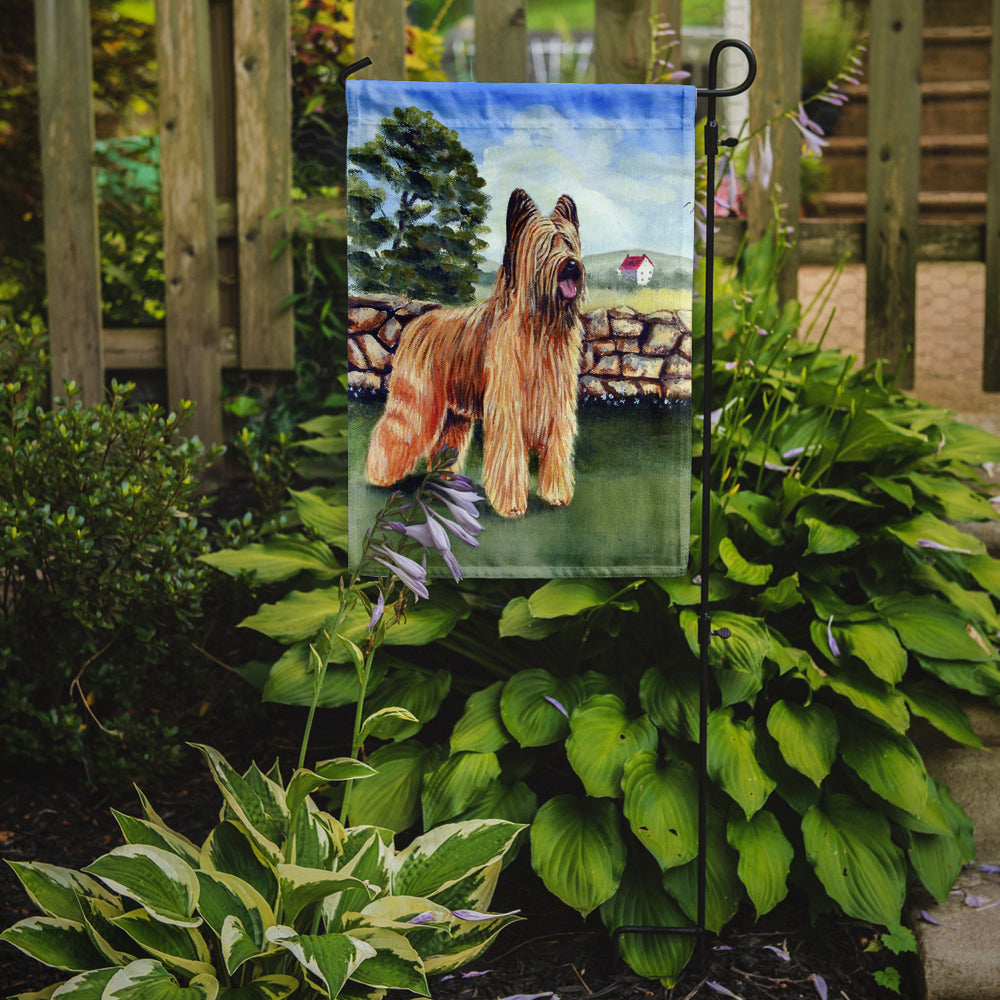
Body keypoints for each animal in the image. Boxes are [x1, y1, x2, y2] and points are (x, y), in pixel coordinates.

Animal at [368, 188, 584, 520]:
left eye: (569, 244)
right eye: (546, 247)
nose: (572, 265)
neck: (540, 328)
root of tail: (418, 321)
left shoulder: (557, 407)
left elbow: (557, 450)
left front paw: (556, 494)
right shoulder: (508, 408)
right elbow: (509, 454)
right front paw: (510, 504)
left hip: (456, 412)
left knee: (446, 443)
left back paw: (445, 480)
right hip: (417, 399)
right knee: (394, 429)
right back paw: (380, 475)